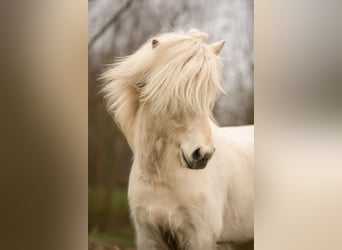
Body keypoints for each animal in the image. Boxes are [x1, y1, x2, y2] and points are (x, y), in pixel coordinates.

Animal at [100, 28, 252, 249]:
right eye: (173, 97)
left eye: (209, 100)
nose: (203, 154)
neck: (161, 179)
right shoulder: (148, 236)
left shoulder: (200, 237)